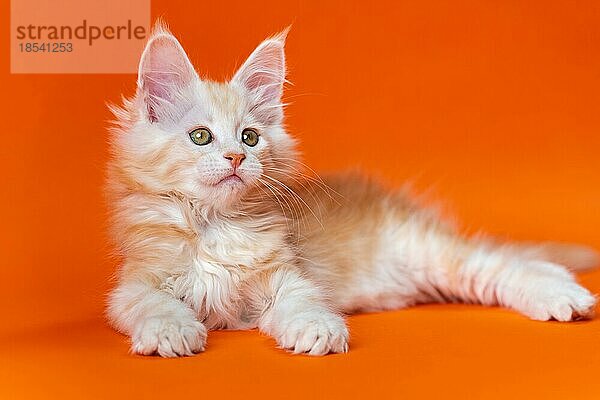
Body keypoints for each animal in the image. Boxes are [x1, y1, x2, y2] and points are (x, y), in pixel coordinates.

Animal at [105, 23, 596, 358]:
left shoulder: (289, 275)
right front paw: (171, 330)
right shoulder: (135, 283)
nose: (236, 159)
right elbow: (151, 303)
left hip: (430, 254)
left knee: (510, 262)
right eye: (201, 137)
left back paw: (565, 297)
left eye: (250, 137)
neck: (216, 226)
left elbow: (303, 301)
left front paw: (317, 329)